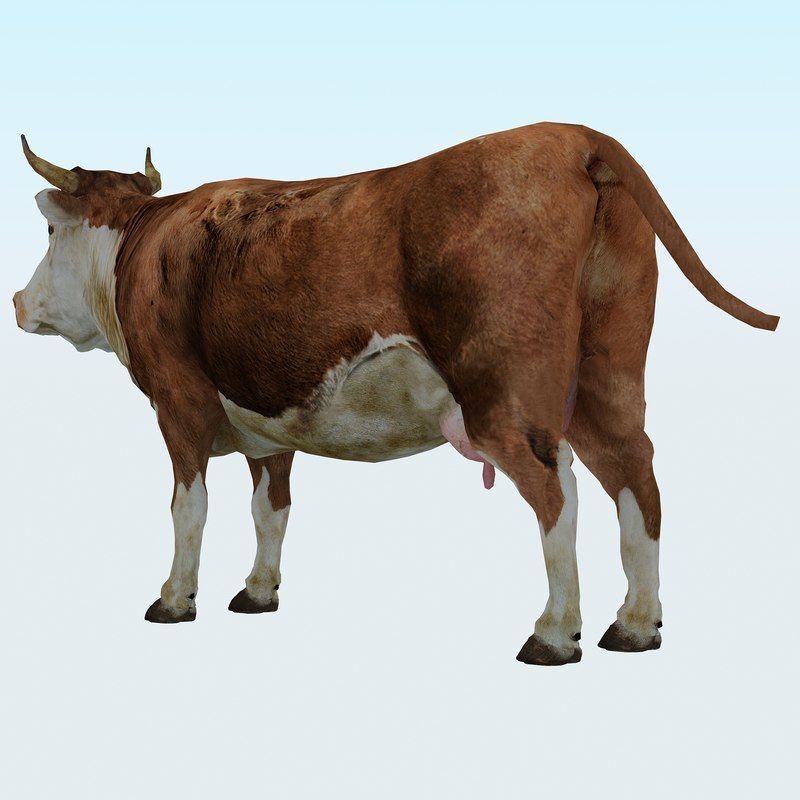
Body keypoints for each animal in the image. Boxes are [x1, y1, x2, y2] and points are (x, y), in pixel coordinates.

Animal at [13, 124, 778, 666]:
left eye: (49, 229)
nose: (18, 303)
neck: (140, 243)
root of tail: (571, 136)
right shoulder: (268, 425)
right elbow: (271, 510)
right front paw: (258, 592)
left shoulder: (177, 401)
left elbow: (187, 507)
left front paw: (174, 600)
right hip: (604, 380)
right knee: (634, 476)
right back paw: (636, 624)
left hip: (506, 395)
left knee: (556, 488)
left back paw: (555, 634)